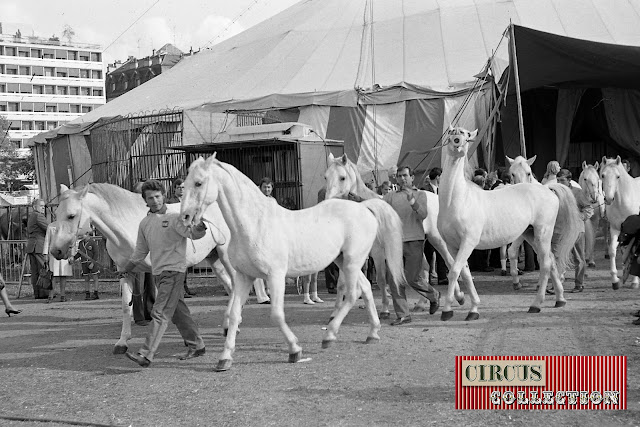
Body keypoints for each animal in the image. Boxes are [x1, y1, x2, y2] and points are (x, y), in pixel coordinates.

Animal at [48, 184, 236, 354]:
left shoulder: (157, 272)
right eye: (56, 214)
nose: (56, 251)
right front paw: (122, 342)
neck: (129, 227)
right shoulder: (125, 272)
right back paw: (227, 327)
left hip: (226, 256)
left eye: (71, 216)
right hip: (214, 258)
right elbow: (126, 306)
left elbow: (160, 307)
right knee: (229, 287)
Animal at [180, 155, 404, 372]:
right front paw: (225, 358)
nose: (186, 217)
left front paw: (295, 350)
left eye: (199, 183)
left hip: (352, 261)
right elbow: (235, 314)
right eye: (184, 183)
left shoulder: (275, 276)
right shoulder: (245, 277)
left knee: (352, 294)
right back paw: (372, 332)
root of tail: (364, 207)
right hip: (345, 261)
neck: (255, 224)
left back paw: (329, 336)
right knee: (365, 288)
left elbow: (277, 315)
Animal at [324, 154, 464, 314]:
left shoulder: (378, 251)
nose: (328, 203)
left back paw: (458, 297)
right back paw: (422, 303)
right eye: (325, 177)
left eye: (342, 177)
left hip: (437, 239)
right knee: (424, 269)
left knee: (449, 262)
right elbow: (342, 283)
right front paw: (335, 312)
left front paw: (385, 309)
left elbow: (381, 279)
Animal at [440, 127, 580, 320]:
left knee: (545, 264)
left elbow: (454, 272)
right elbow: (464, 273)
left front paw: (448, 310)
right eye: (451, 132)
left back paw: (536, 304)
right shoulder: (453, 246)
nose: (457, 143)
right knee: (551, 261)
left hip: (543, 233)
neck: (457, 200)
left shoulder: (468, 243)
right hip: (530, 234)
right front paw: (470, 305)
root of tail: (547, 189)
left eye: (467, 136)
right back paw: (560, 299)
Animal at [600, 157, 640, 290]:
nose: (608, 199)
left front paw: (635, 282)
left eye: (618, 176)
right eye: (602, 175)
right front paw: (615, 281)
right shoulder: (615, 229)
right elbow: (612, 250)